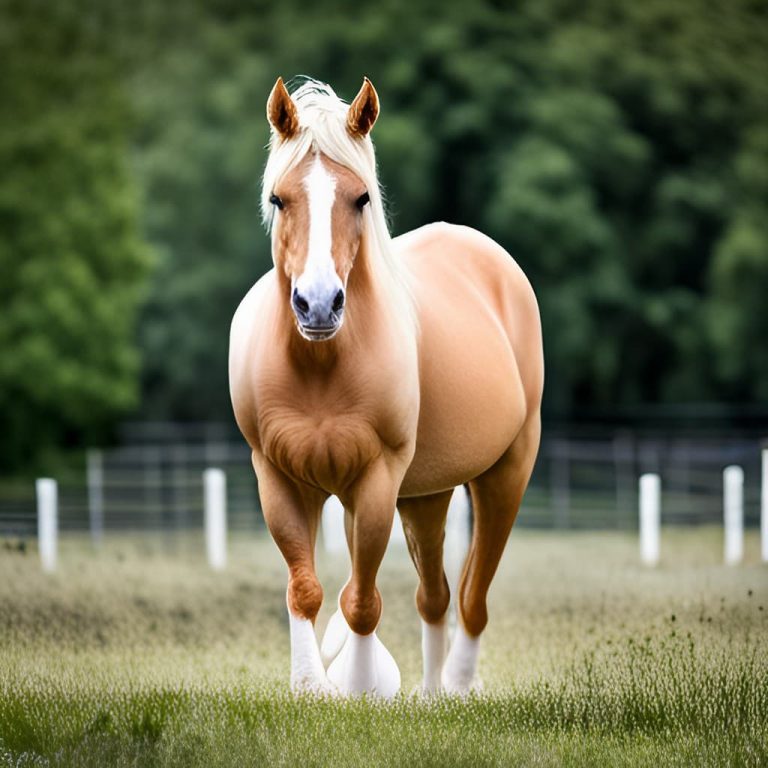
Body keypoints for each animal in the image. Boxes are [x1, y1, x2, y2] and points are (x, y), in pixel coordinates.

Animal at [229, 76, 543, 697]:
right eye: (279, 199)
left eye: (361, 199)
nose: (318, 304)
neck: (321, 365)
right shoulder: (277, 477)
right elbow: (307, 589)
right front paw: (312, 686)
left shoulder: (375, 480)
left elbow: (362, 600)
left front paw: (359, 687)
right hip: (426, 494)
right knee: (435, 597)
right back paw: (429, 696)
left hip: (506, 471)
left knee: (473, 595)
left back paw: (459, 687)